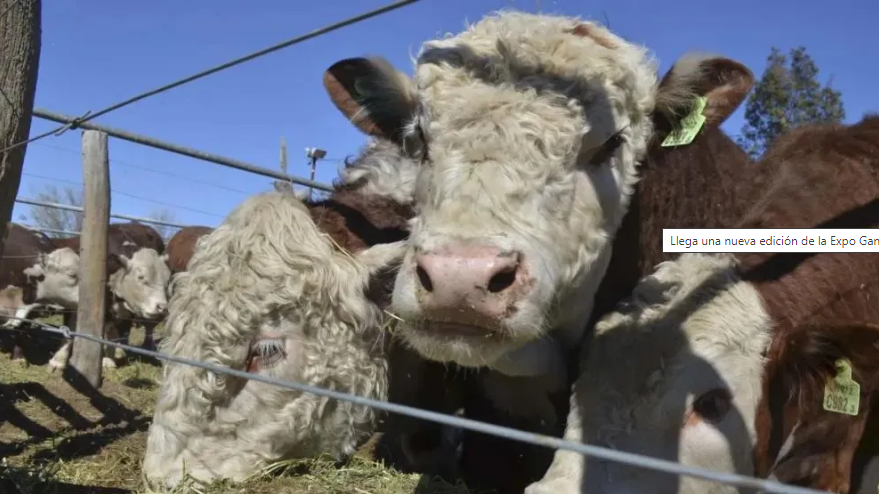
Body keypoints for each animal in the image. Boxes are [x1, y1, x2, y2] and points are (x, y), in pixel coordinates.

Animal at [41, 221, 173, 370]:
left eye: (167, 280)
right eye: (141, 277)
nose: (162, 307)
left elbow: (116, 334)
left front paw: (110, 358)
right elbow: (72, 328)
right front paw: (58, 360)